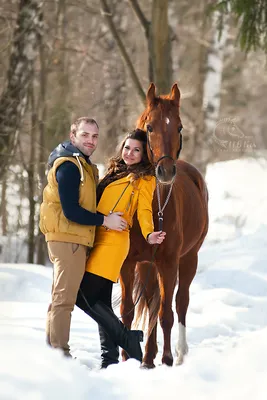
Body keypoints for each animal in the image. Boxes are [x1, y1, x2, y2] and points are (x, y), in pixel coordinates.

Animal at [119, 83, 209, 368]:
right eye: (149, 127)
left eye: (179, 127)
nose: (166, 172)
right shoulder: (129, 263)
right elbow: (128, 310)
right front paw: (126, 359)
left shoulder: (169, 262)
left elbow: (167, 313)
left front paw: (167, 358)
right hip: (148, 264)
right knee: (151, 302)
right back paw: (148, 355)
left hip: (189, 258)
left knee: (180, 303)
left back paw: (177, 354)